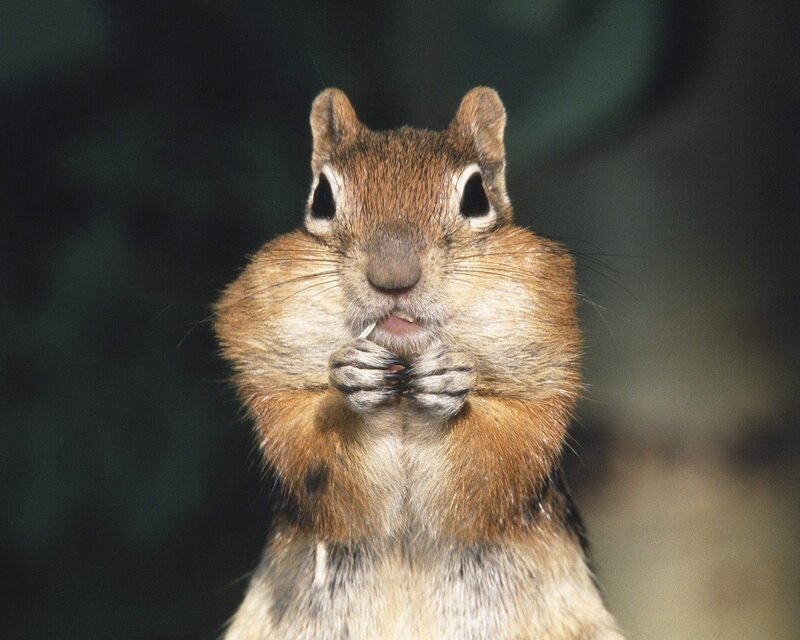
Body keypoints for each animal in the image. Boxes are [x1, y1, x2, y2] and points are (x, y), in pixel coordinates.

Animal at [214, 87, 624, 639]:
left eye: (476, 198)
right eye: (322, 199)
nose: (393, 277)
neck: (402, 399)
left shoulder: (542, 386)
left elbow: (504, 455)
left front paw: (449, 384)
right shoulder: (272, 386)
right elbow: (307, 452)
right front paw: (352, 380)